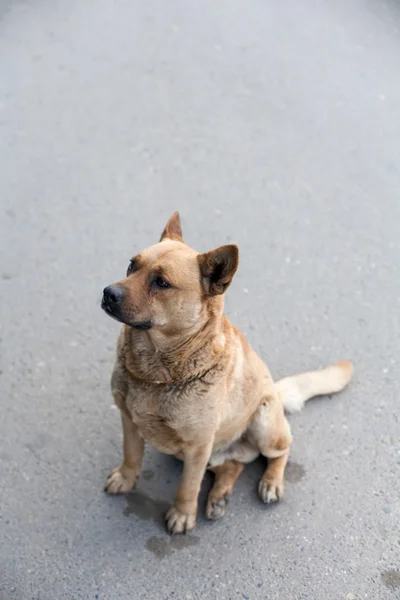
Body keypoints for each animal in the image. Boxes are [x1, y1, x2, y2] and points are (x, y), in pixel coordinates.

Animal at [101, 213, 352, 532]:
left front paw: (182, 514)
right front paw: (125, 477)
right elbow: (131, 454)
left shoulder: (198, 447)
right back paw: (218, 496)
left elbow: (188, 487)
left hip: (264, 425)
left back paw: (271, 482)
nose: (108, 293)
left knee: (282, 450)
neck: (155, 371)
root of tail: (275, 389)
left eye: (161, 282)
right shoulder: (129, 420)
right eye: (132, 265)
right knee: (233, 466)